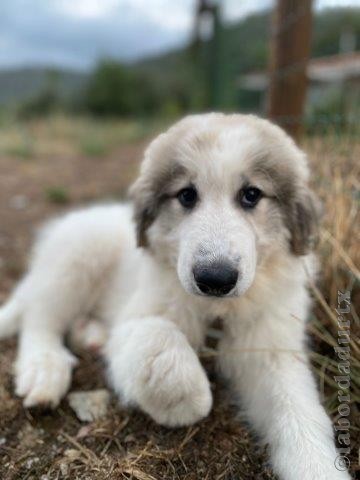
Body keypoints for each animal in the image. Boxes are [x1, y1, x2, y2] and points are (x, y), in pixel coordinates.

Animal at [0, 114, 350, 478]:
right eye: (186, 195)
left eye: (251, 195)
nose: (215, 278)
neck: (217, 310)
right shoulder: (136, 321)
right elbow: (162, 342)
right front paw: (190, 401)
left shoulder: (271, 348)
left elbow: (298, 408)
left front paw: (317, 466)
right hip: (76, 259)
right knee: (40, 318)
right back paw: (45, 368)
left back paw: (89, 336)